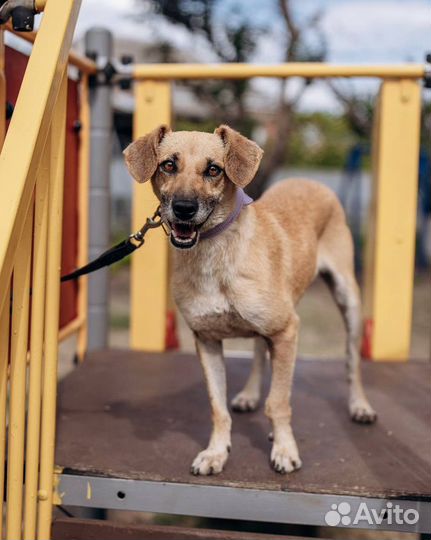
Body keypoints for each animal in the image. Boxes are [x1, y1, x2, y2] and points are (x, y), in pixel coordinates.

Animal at [123, 125, 376, 476]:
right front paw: (216, 452)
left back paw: (360, 406)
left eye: (214, 169)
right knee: (258, 351)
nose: (184, 208)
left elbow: (279, 402)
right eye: (168, 165)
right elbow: (218, 408)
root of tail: (309, 180)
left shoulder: (286, 332)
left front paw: (284, 449)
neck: (214, 256)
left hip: (347, 300)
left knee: (353, 362)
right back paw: (249, 394)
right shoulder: (207, 340)